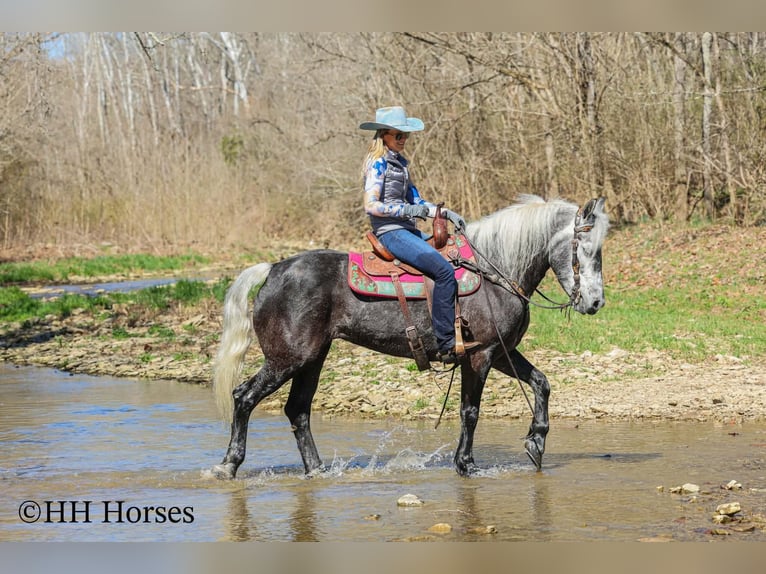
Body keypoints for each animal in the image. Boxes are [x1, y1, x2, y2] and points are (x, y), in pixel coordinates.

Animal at [210, 194, 609, 479]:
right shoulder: (479, 356)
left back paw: (317, 470)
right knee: (244, 397)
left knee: (298, 410)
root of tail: (274, 269)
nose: (595, 302)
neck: (495, 270)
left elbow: (542, 383)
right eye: (587, 250)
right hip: (286, 359)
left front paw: (536, 442)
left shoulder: (500, 353)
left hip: (312, 359)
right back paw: (228, 465)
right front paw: (466, 464)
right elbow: (470, 411)